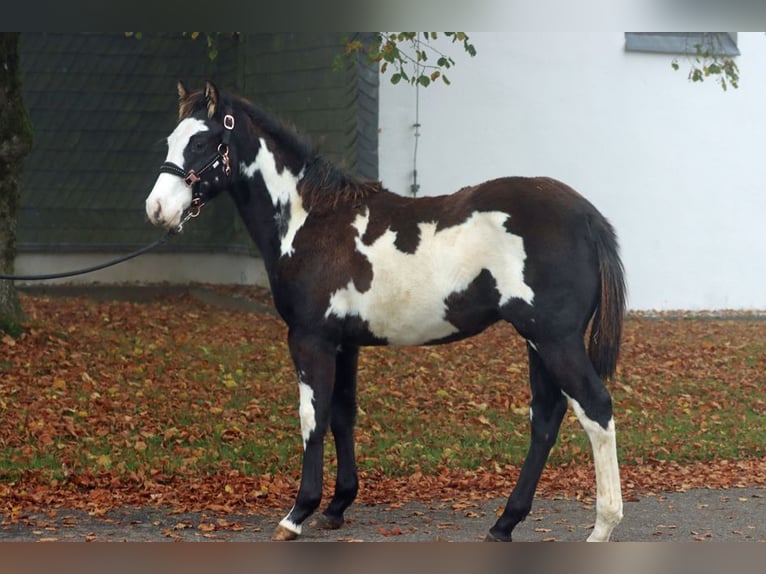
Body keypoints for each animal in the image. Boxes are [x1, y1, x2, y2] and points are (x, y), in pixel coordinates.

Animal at [146, 82, 632, 544]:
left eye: (202, 142)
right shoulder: (343, 343)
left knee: (595, 406)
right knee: (546, 418)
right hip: (537, 341)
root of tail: (587, 217)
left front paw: (297, 514)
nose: (157, 210)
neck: (311, 220)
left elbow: (312, 418)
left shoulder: (310, 339)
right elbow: (342, 414)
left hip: (555, 339)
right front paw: (337, 506)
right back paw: (504, 523)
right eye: (169, 140)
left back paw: (602, 526)